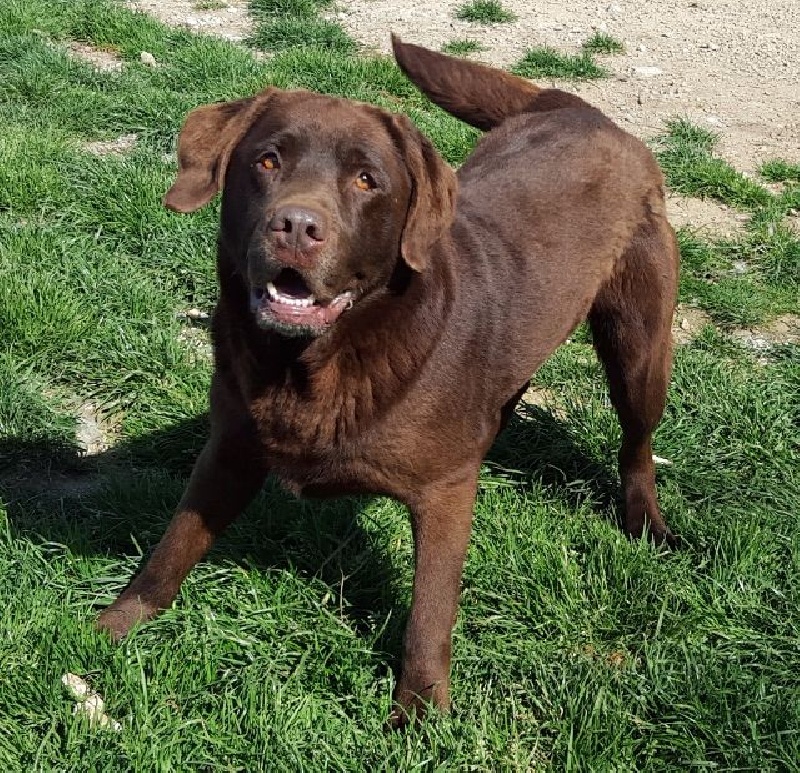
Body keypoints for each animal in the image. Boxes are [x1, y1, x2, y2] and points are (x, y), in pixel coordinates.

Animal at [97, 34, 680, 724]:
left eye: (366, 180)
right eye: (266, 161)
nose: (296, 225)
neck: (310, 366)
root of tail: (581, 110)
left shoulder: (444, 491)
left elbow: (430, 609)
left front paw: (422, 711)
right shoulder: (232, 443)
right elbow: (176, 540)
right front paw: (111, 624)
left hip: (639, 343)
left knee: (637, 441)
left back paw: (647, 524)